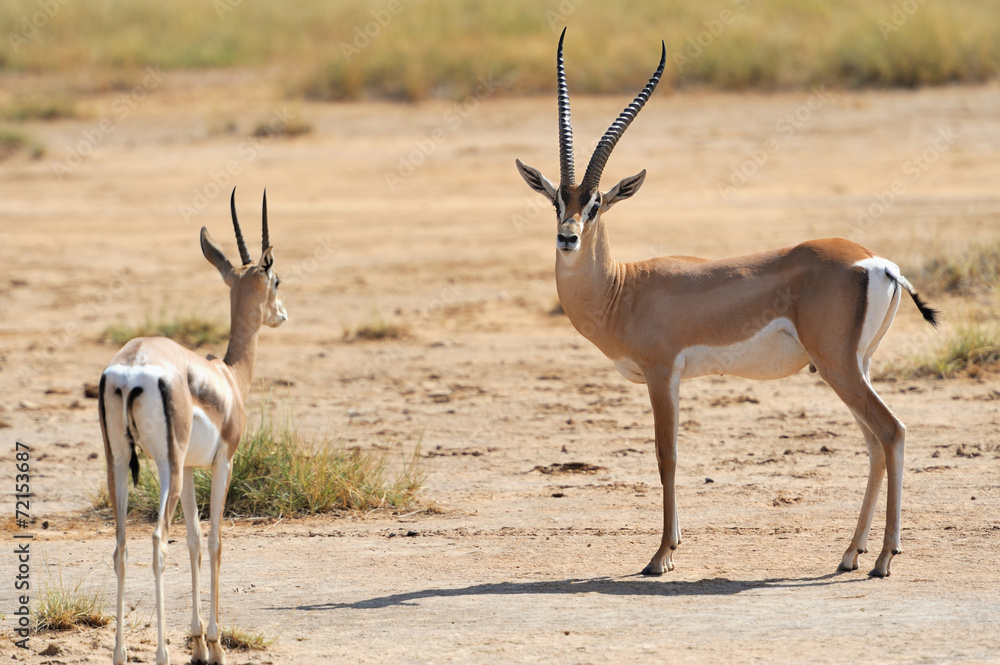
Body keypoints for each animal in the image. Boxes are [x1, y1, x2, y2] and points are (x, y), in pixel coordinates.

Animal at [98, 189, 286, 665]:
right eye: (277, 280)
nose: (281, 314)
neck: (228, 377)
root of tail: (133, 366)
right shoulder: (223, 464)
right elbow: (215, 541)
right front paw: (215, 645)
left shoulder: (188, 472)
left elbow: (195, 541)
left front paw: (199, 641)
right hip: (166, 466)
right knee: (156, 541)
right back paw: (162, 654)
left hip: (120, 463)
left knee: (121, 546)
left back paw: (120, 655)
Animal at [515, 29, 937, 578]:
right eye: (556, 201)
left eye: (596, 203)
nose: (567, 238)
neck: (622, 289)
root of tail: (878, 262)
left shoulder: (662, 374)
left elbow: (666, 456)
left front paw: (661, 557)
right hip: (855, 366)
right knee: (873, 443)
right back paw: (850, 554)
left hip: (838, 365)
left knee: (891, 431)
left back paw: (884, 558)